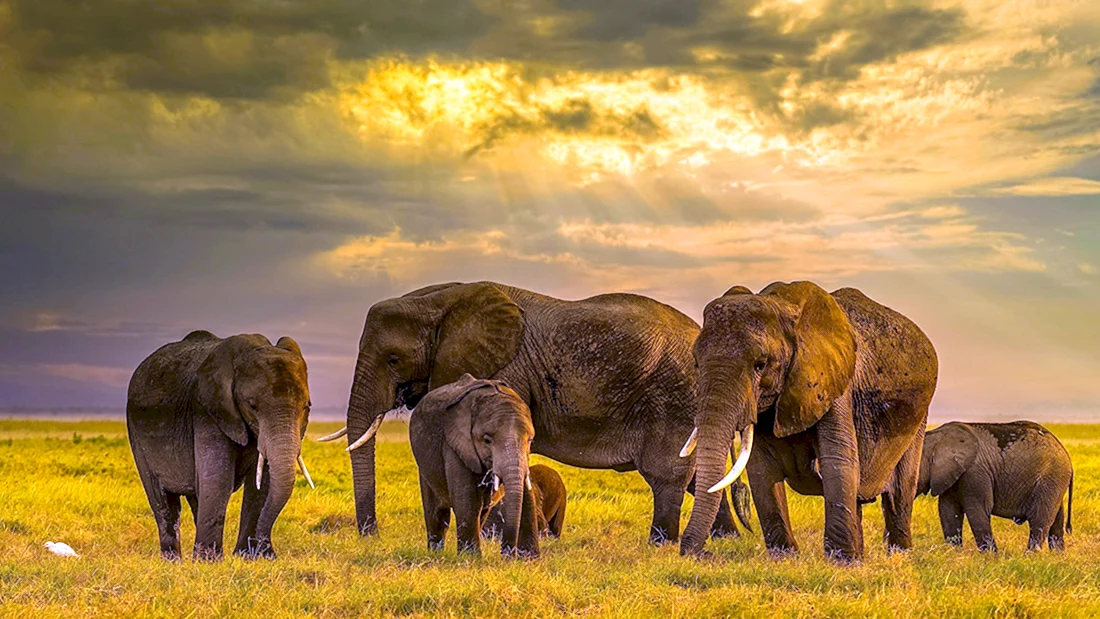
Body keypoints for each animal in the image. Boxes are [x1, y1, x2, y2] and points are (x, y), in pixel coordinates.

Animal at [126, 331, 314, 560]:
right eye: (252, 406)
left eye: (307, 406)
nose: (265, 547)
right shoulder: (207, 411)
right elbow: (219, 478)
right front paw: (209, 561)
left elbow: (262, 482)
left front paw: (251, 557)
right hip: (136, 433)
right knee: (162, 500)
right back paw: (173, 560)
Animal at [409, 374, 541, 557]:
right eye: (487, 440)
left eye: (530, 440)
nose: (506, 554)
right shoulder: (454, 443)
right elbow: (467, 499)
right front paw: (470, 558)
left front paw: (527, 559)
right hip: (424, 465)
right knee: (437, 513)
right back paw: (435, 553)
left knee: (482, 512)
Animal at [680, 282, 938, 562]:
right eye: (696, 363)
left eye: (760, 365)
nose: (701, 553)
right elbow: (761, 468)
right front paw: (785, 557)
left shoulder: (833, 382)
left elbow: (837, 460)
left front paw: (842, 562)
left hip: (918, 417)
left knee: (899, 491)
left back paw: (899, 555)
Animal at [918, 421, 1074, 552]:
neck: (937, 438)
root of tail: (1067, 456)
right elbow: (948, 512)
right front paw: (953, 555)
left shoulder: (974, 473)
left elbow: (977, 510)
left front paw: (991, 559)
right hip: (1054, 481)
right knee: (1056, 523)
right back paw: (1057, 558)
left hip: (1051, 478)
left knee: (1039, 521)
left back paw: (1029, 558)